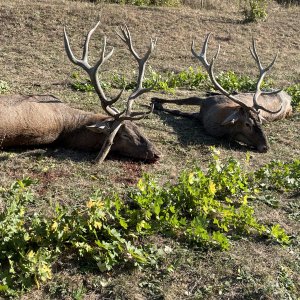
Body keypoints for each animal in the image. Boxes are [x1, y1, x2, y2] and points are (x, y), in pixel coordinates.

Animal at [151, 34, 292, 152]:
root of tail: (289, 99)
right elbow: (183, 101)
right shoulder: (207, 103)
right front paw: (155, 100)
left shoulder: (201, 116)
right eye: (248, 124)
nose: (265, 147)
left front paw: (157, 103)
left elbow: (179, 110)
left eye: (260, 122)